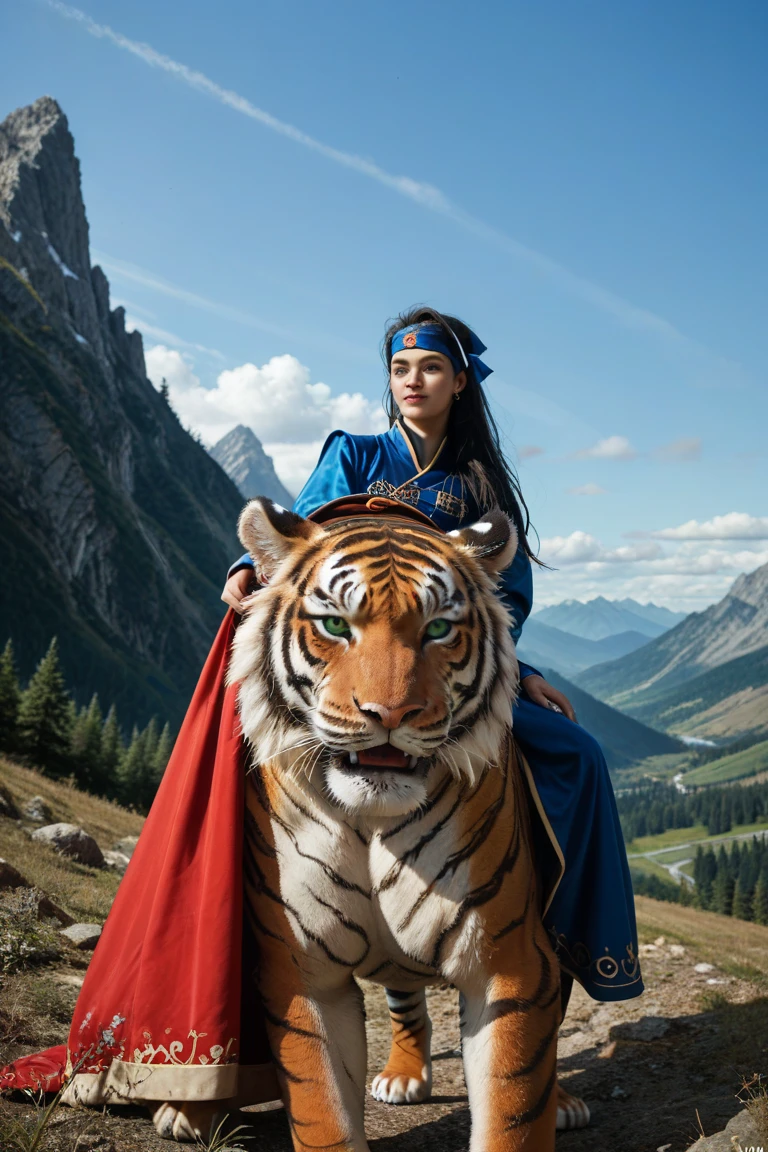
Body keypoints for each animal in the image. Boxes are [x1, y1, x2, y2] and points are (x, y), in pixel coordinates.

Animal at [157, 497, 564, 1152]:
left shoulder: (509, 964)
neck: (371, 818)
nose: (390, 715)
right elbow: (322, 1109)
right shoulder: (301, 973)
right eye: (335, 625)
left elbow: (514, 1109)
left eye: (438, 629)